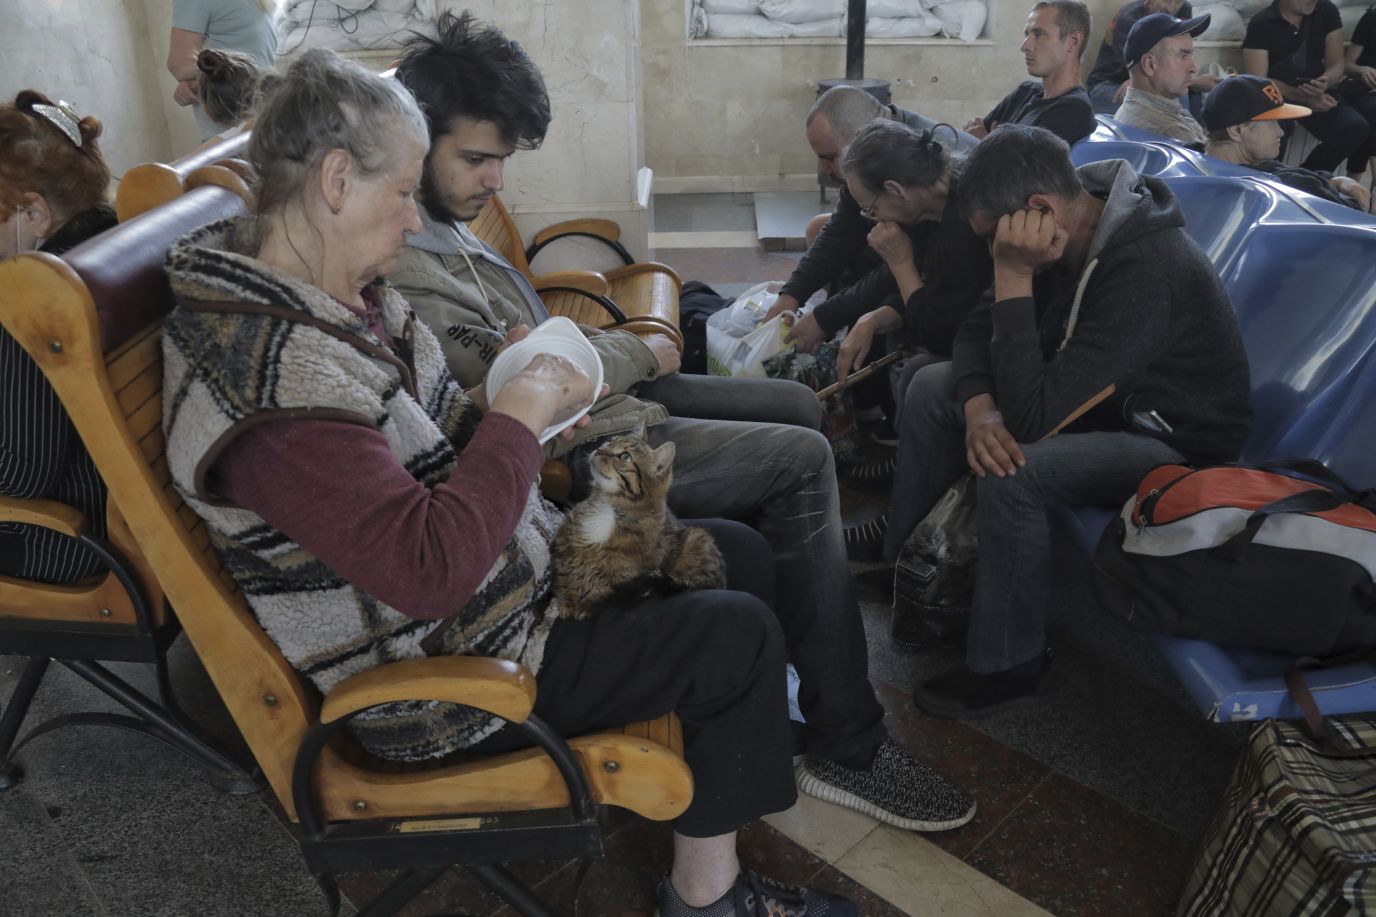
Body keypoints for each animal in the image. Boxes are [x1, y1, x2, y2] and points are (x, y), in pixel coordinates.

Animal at [553, 426, 732, 614]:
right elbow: (565, 581)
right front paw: (565, 606)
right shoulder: (564, 551)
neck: (609, 504)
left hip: (696, 537)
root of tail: (721, 582)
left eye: (625, 457)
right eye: (610, 442)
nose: (599, 450)